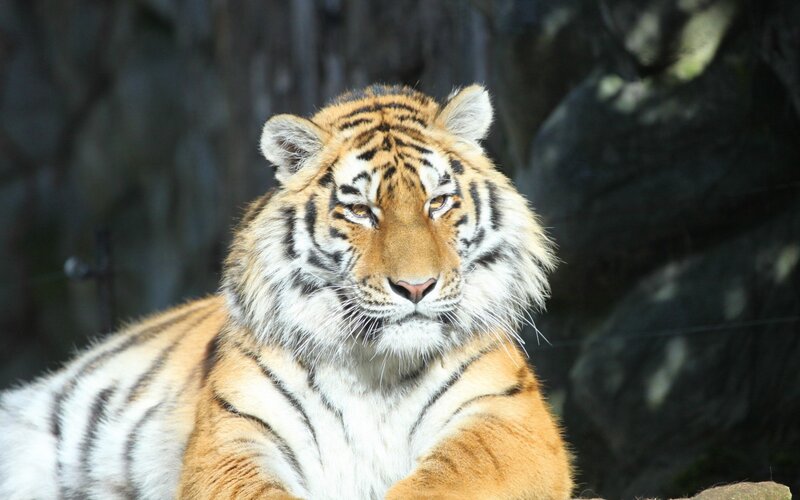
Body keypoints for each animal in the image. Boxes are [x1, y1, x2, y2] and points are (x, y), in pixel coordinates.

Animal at [0, 84, 573, 499]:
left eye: (437, 203)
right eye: (361, 210)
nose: (416, 286)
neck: (377, 370)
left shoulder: (510, 421)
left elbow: (444, 479)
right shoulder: (233, 435)